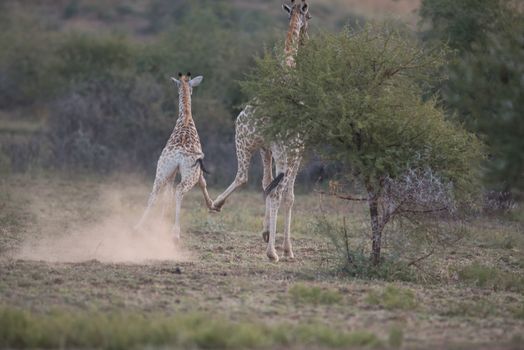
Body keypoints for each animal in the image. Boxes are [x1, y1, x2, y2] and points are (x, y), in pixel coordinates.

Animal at [138, 72, 216, 242]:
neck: (186, 118)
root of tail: (179, 153)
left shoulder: (172, 171)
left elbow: (165, 196)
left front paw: (160, 223)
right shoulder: (198, 168)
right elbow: (203, 183)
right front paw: (213, 205)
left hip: (162, 169)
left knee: (154, 194)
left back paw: (138, 226)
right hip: (189, 172)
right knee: (179, 191)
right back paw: (175, 232)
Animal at [212, 0, 312, 262]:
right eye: (310, 16)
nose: (307, 39)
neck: (288, 65)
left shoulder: (266, 148)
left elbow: (267, 183)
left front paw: (267, 232)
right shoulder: (297, 148)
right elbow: (287, 195)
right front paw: (286, 248)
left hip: (249, 140)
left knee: (254, 181)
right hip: (260, 143)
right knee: (258, 183)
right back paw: (273, 252)